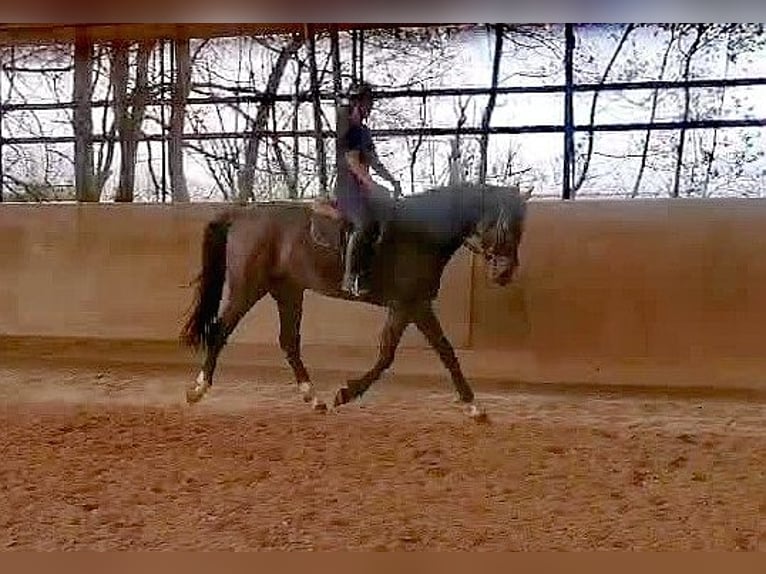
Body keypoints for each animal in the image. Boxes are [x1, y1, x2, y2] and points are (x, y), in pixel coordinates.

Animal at [180, 182, 528, 420]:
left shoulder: (407, 307)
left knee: (289, 341)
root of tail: (242, 213)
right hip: (247, 288)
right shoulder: (412, 304)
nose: (505, 273)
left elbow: (407, 353)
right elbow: (426, 353)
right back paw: (198, 389)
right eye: (504, 225)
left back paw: (314, 398)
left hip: (288, 291)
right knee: (220, 331)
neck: (423, 233)